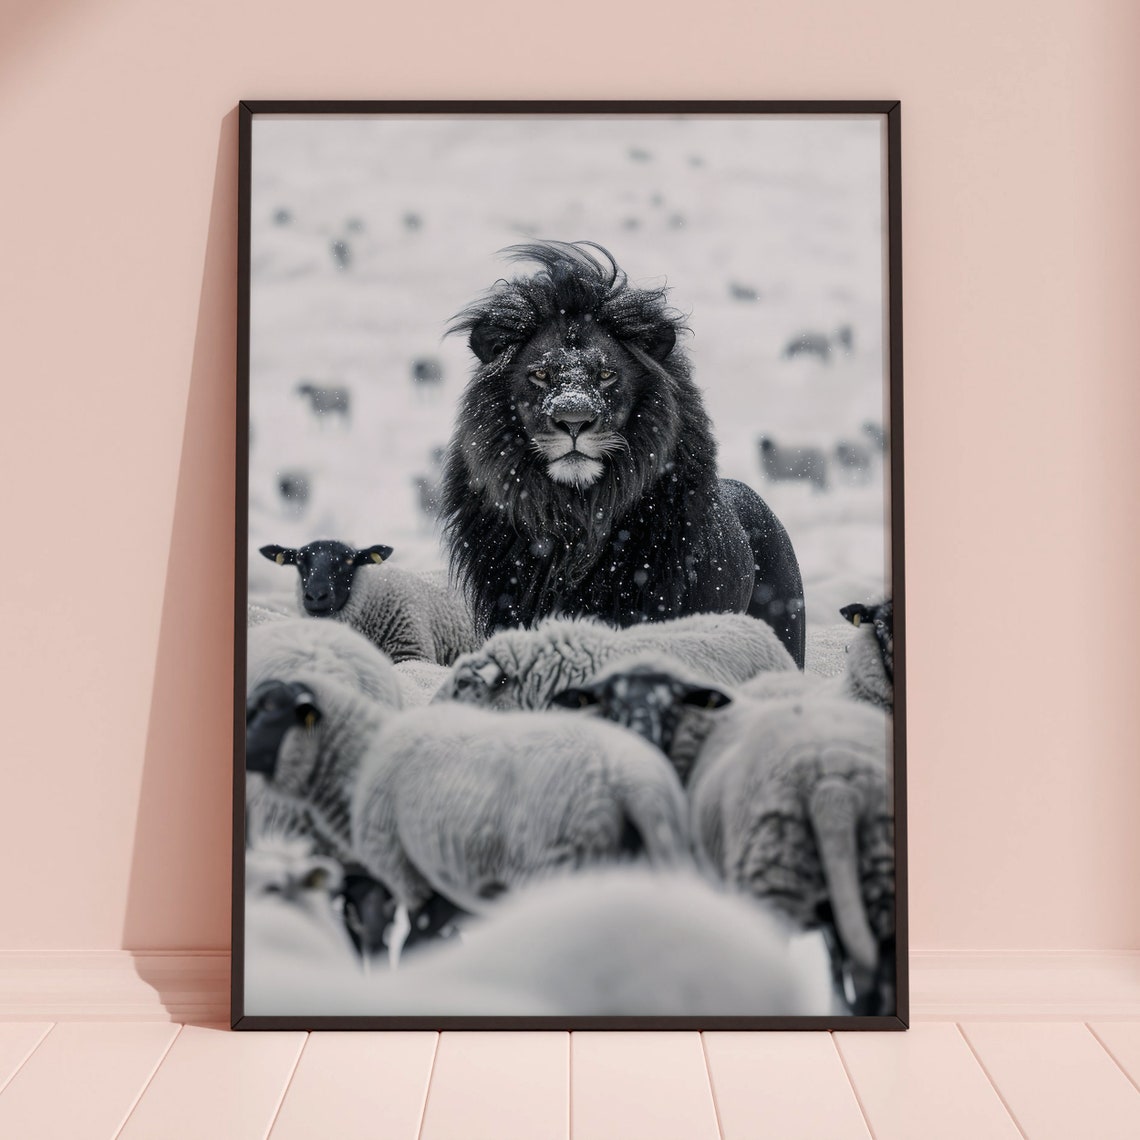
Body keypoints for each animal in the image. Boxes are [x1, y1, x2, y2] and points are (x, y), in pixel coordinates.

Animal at [551, 661, 895, 1015]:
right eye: (609, 701)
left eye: (672, 703)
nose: (640, 738)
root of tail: (834, 789)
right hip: (876, 887)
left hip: (770, 880)